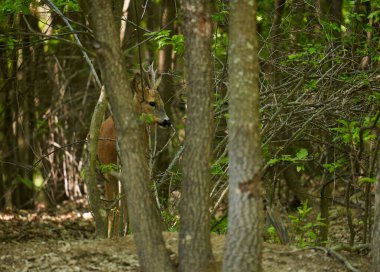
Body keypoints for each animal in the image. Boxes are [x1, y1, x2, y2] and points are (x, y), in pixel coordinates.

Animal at [97, 68, 170, 238]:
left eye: (163, 103)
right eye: (152, 103)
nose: (167, 121)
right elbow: (119, 207)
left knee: (118, 207)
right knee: (115, 207)